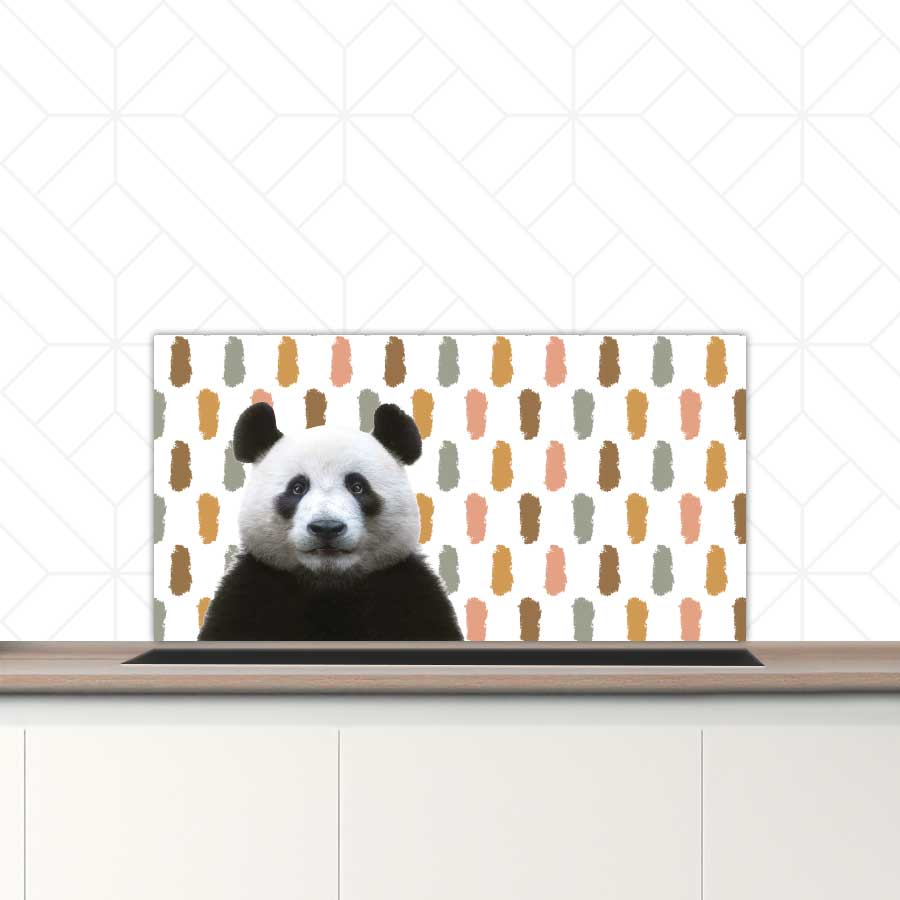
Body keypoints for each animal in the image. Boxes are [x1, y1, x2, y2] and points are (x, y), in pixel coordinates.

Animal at [198, 401, 463, 641]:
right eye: (297, 488)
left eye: (357, 486)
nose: (326, 528)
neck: (328, 585)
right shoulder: (251, 593)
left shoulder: (407, 592)